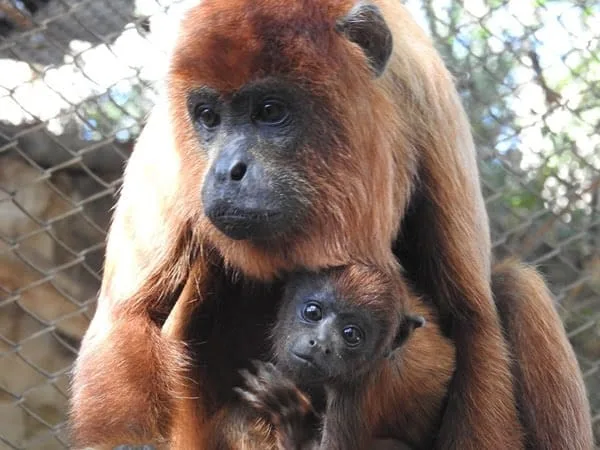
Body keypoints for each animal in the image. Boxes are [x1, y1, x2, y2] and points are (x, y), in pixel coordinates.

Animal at [69, 0, 592, 450]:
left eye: (270, 111)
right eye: (208, 117)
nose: (225, 171)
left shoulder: (432, 114)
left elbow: (474, 321)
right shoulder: (165, 143)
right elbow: (127, 317)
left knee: (518, 287)